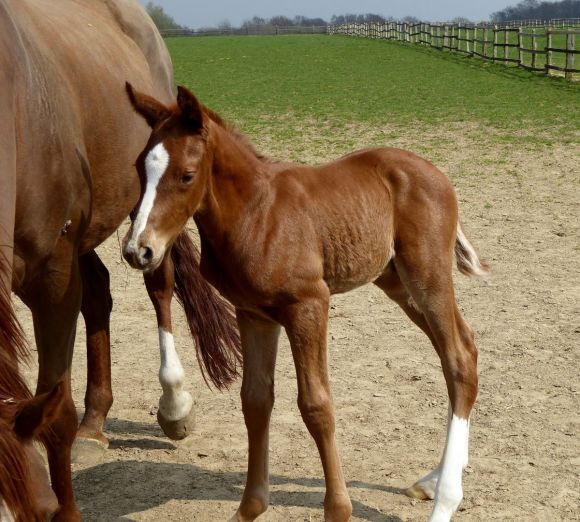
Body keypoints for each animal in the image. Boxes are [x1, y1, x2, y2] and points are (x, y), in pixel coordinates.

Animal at [0, 0, 239, 516]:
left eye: (40, 512)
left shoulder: (53, 276)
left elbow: (55, 413)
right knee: (99, 295)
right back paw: (94, 424)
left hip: (146, 214)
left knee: (159, 287)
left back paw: (173, 405)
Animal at [124, 85, 492, 520]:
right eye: (138, 168)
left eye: (186, 176)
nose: (138, 250)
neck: (256, 213)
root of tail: (436, 172)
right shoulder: (253, 314)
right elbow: (255, 401)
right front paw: (250, 507)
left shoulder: (309, 306)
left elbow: (316, 405)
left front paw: (338, 509)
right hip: (397, 283)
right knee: (461, 349)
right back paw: (434, 481)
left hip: (427, 277)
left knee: (458, 357)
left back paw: (445, 501)